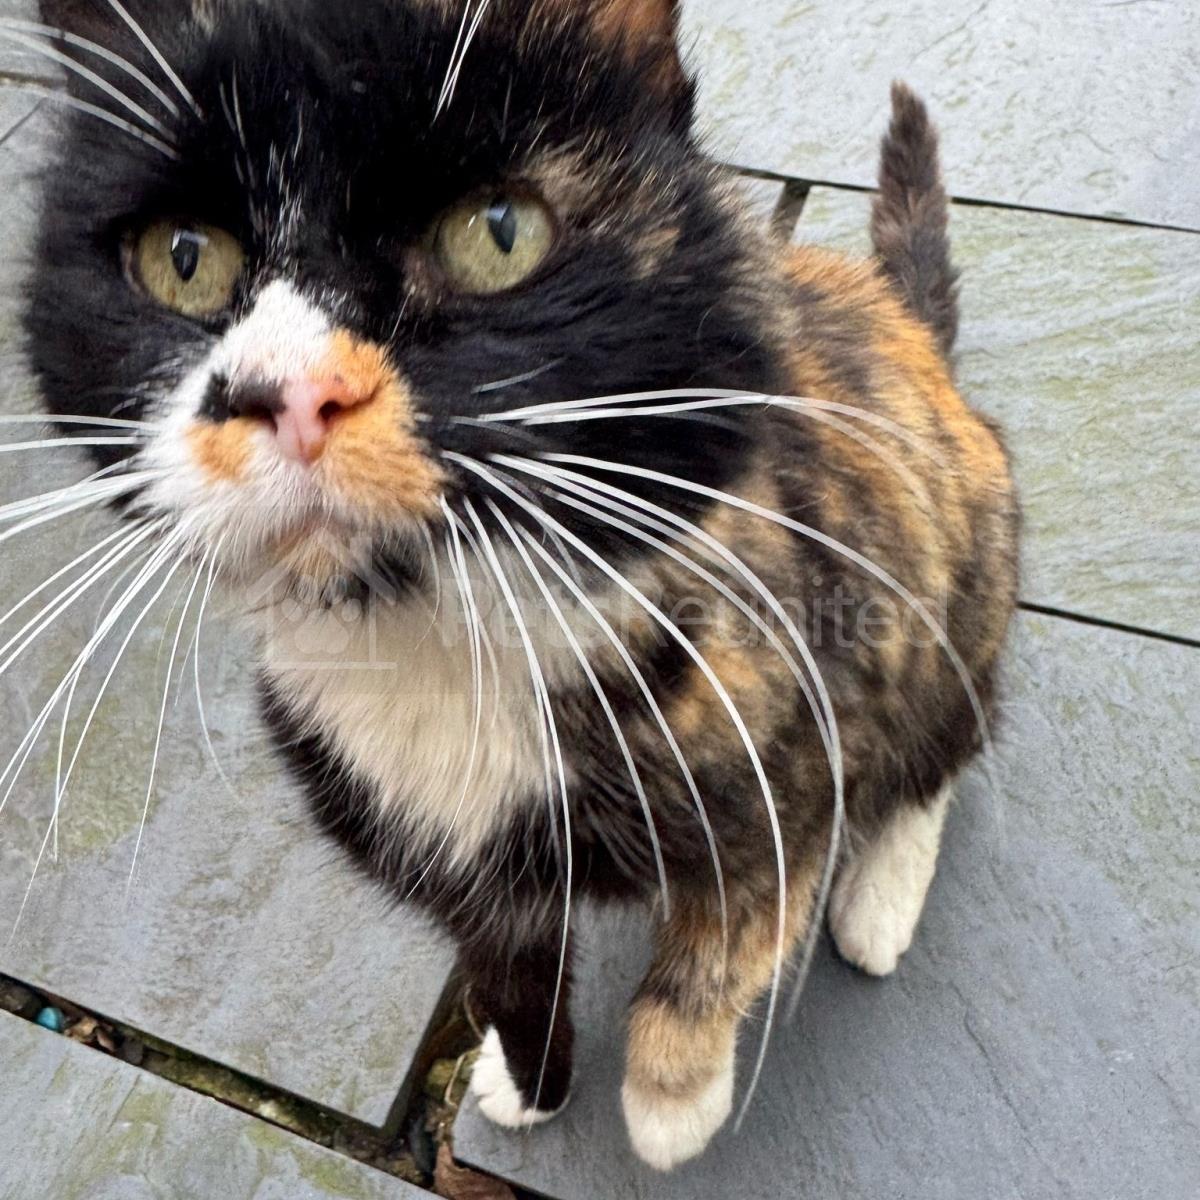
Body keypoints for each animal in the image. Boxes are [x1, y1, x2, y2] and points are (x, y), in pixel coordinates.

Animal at [17, 0, 1019, 1172]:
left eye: (498, 233)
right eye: (183, 258)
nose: (293, 393)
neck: (439, 638)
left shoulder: (791, 746)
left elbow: (729, 934)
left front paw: (672, 1102)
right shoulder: (451, 868)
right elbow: (506, 977)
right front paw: (526, 1080)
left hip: (961, 585)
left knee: (942, 742)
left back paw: (878, 901)